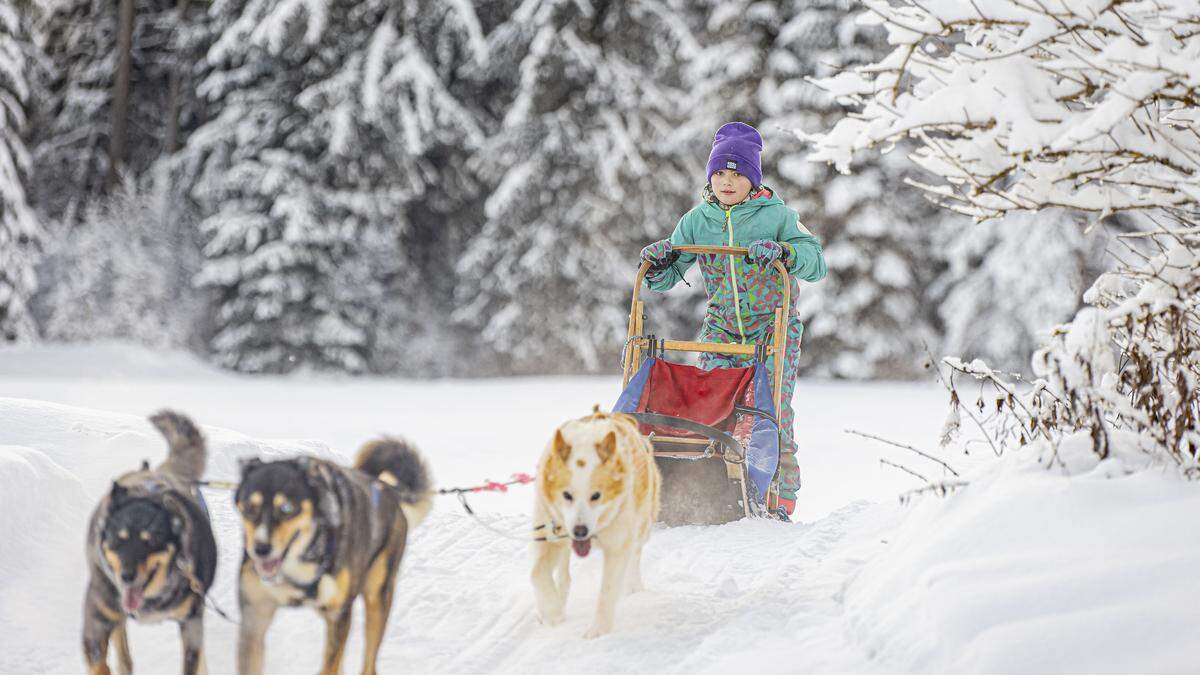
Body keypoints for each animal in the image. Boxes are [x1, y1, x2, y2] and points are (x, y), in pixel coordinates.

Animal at [82, 410, 218, 672]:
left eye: (151, 540)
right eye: (117, 539)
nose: (127, 576)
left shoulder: (191, 623)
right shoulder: (96, 620)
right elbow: (98, 662)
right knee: (122, 646)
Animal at [231, 437, 434, 672]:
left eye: (287, 508)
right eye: (249, 508)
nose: (261, 549)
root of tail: (386, 488)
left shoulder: (339, 615)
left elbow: (329, 667)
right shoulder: (254, 618)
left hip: (376, 598)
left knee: (369, 663)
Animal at [530, 410, 662, 634]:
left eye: (596, 496)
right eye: (566, 495)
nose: (580, 531)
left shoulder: (618, 544)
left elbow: (608, 590)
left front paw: (598, 631)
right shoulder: (549, 537)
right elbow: (537, 574)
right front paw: (553, 611)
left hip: (642, 527)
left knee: (634, 557)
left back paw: (633, 587)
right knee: (564, 575)